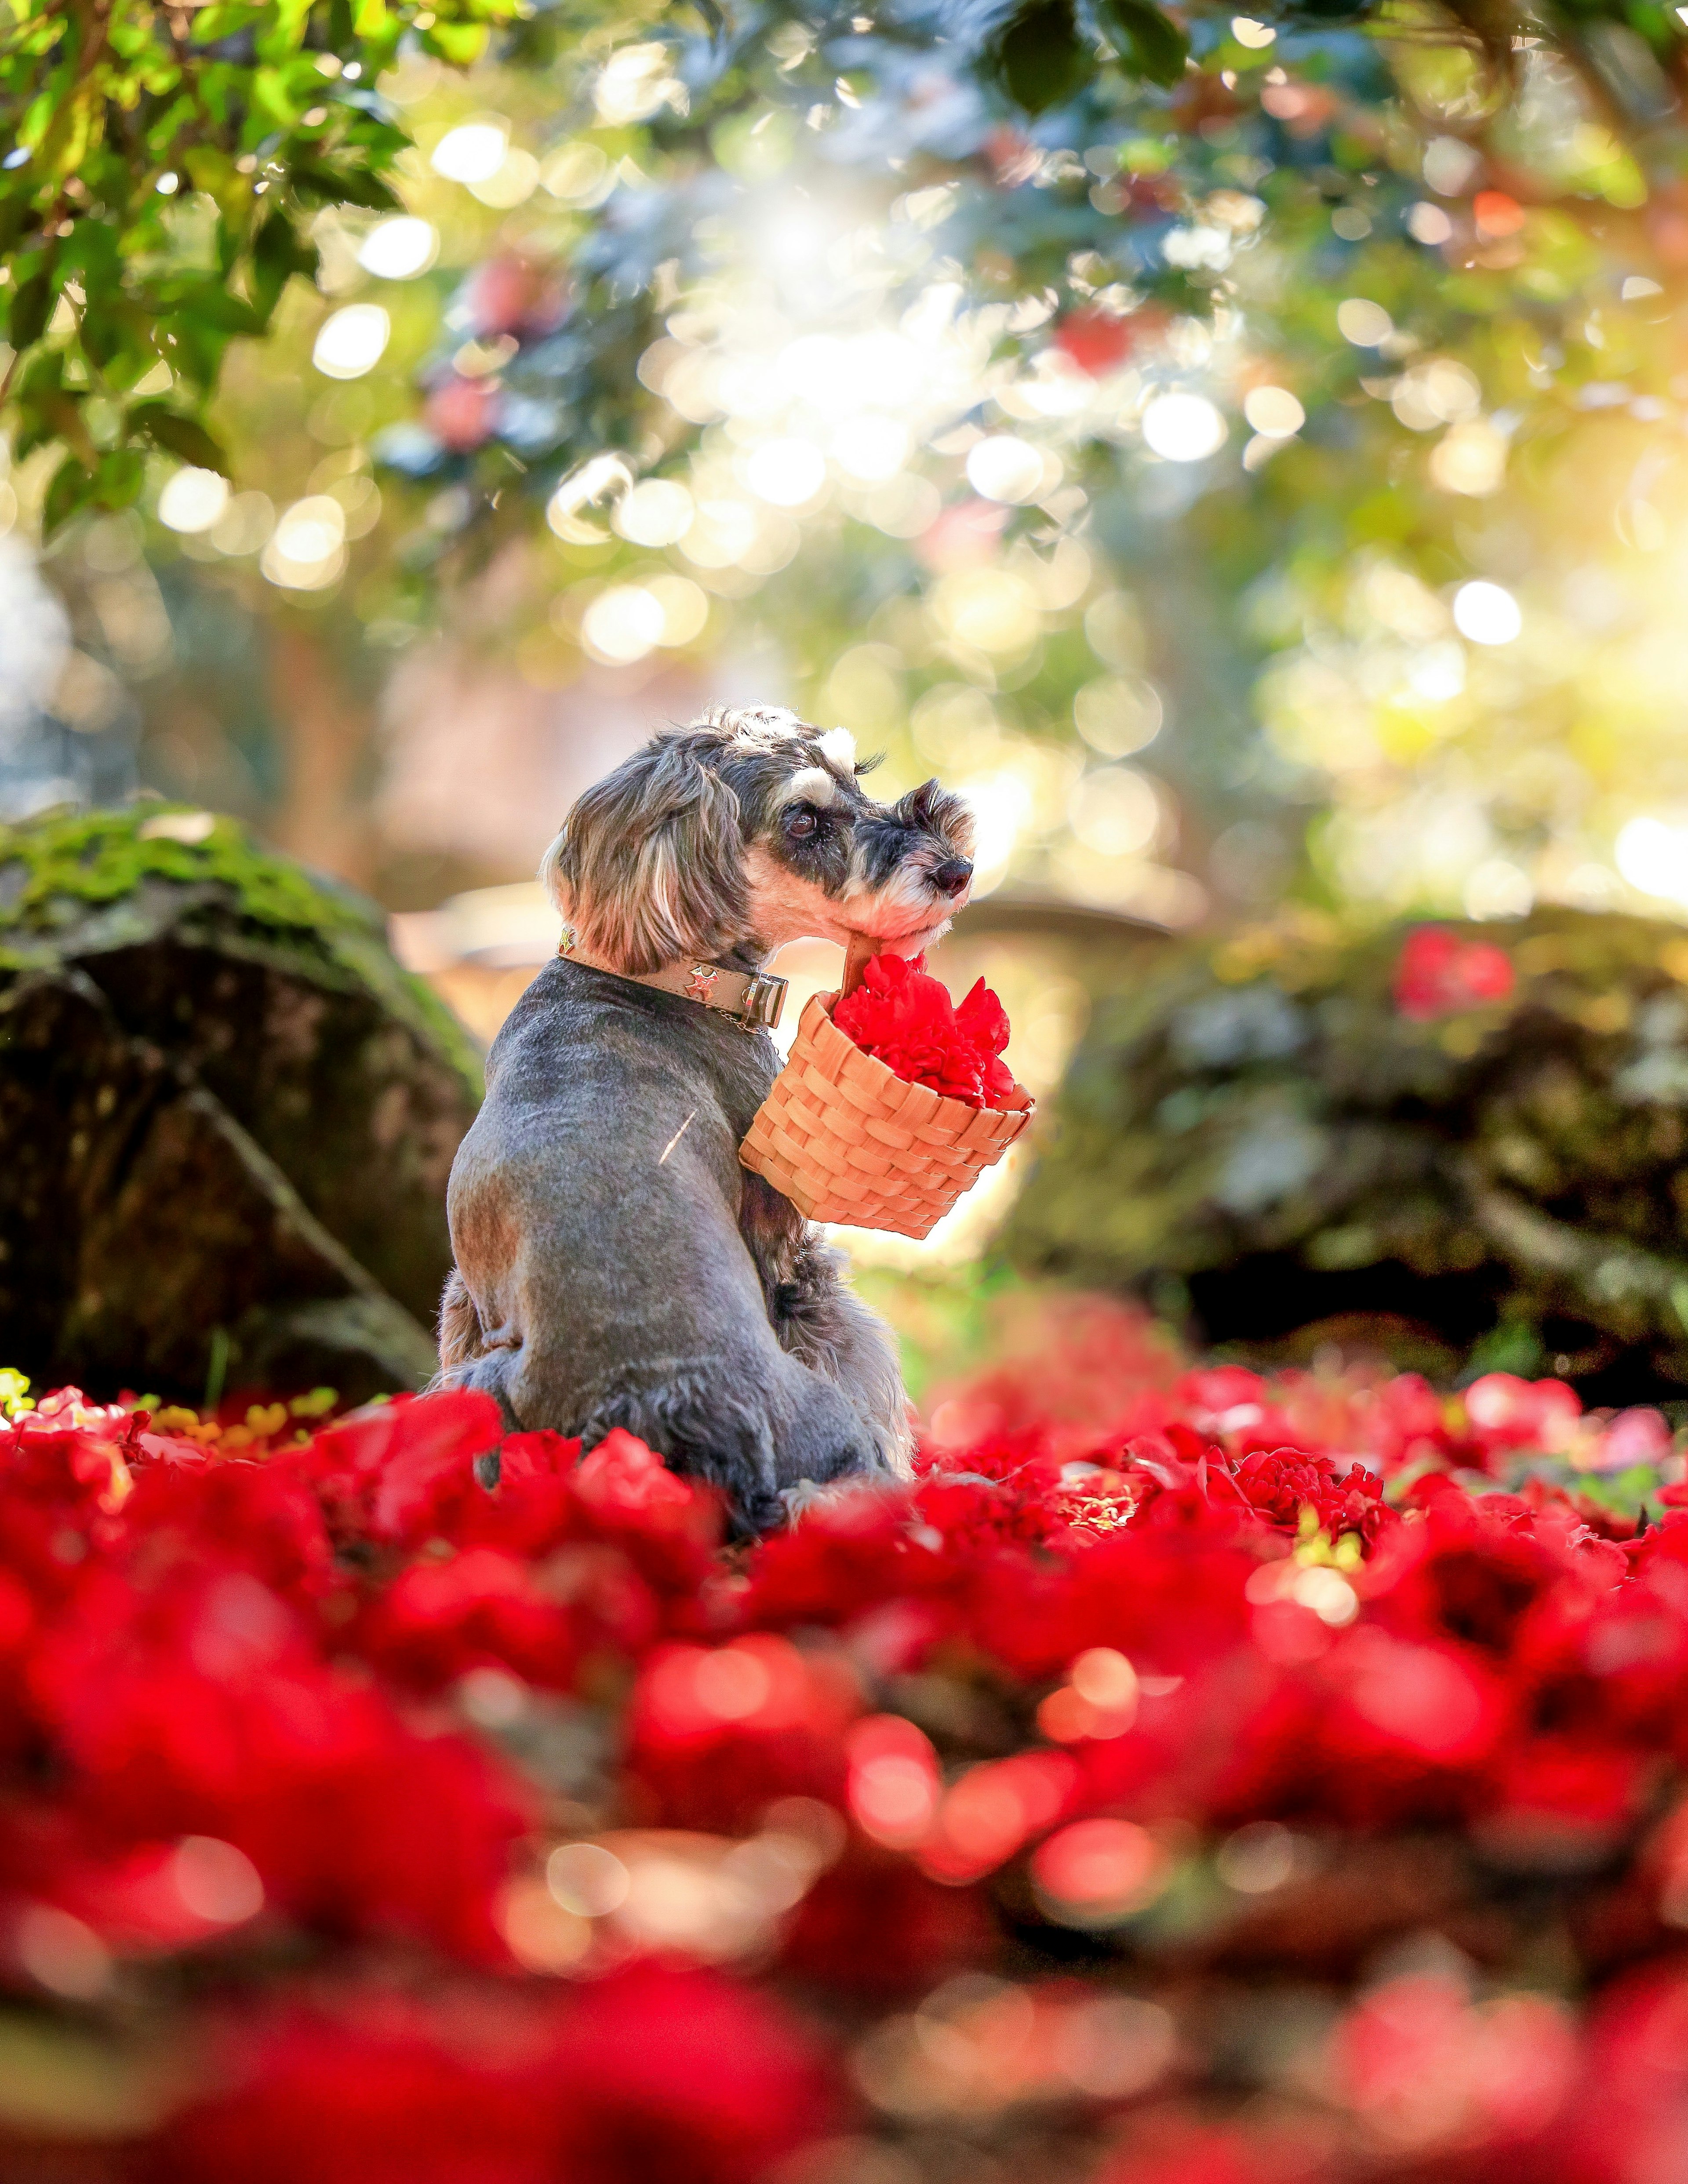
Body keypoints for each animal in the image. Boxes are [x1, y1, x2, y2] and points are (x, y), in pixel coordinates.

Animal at [434, 707, 974, 1529]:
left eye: (857, 775)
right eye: (803, 818)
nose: (954, 869)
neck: (659, 977)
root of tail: (661, 1415)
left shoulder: (467, 1302)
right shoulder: (789, 1249)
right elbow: (856, 1353)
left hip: (479, 1389)